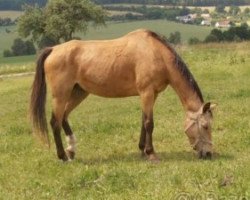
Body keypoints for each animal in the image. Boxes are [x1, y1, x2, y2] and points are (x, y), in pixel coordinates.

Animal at [30, 28, 216, 162]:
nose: (208, 153)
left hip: (78, 93)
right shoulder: (147, 92)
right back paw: (63, 156)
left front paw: (142, 150)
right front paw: (151, 153)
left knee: (64, 117)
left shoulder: (151, 94)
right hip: (60, 95)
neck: (156, 54)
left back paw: (71, 150)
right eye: (206, 126)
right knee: (55, 122)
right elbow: (149, 123)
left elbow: (143, 121)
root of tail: (53, 49)